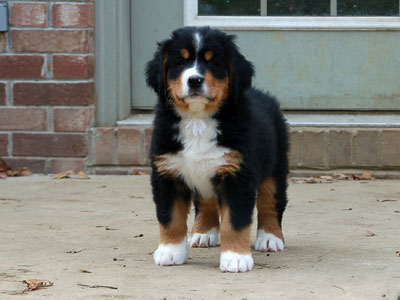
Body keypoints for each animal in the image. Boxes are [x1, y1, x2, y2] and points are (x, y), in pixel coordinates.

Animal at [145, 27, 290, 274]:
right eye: (180, 62)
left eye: (214, 63)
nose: (195, 80)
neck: (197, 120)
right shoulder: (167, 173)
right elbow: (170, 218)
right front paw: (170, 251)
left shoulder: (237, 175)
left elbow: (235, 221)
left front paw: (236, 258)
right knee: (206, 202)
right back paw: (203, 233)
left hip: (275, 167)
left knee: (271, 202)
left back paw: (270, 238)